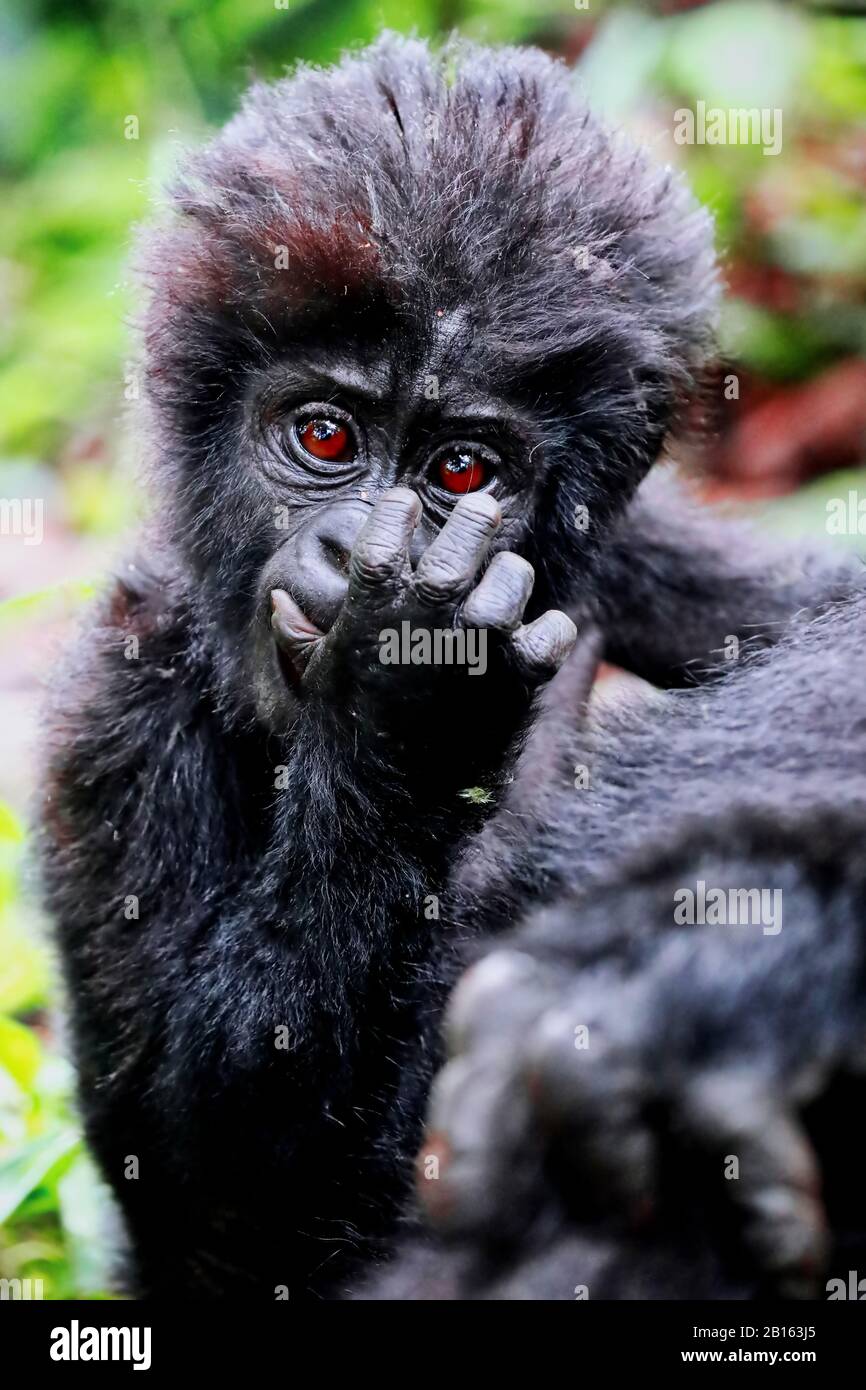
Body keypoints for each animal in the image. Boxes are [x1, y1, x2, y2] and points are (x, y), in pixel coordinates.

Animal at [44, 32, 861, 1295]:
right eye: (324, 437)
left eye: (462, 472)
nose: (360, 552)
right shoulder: (115, 707)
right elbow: (212, 1188)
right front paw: (403, 705)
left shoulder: (647, 559)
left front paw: (736, 953)